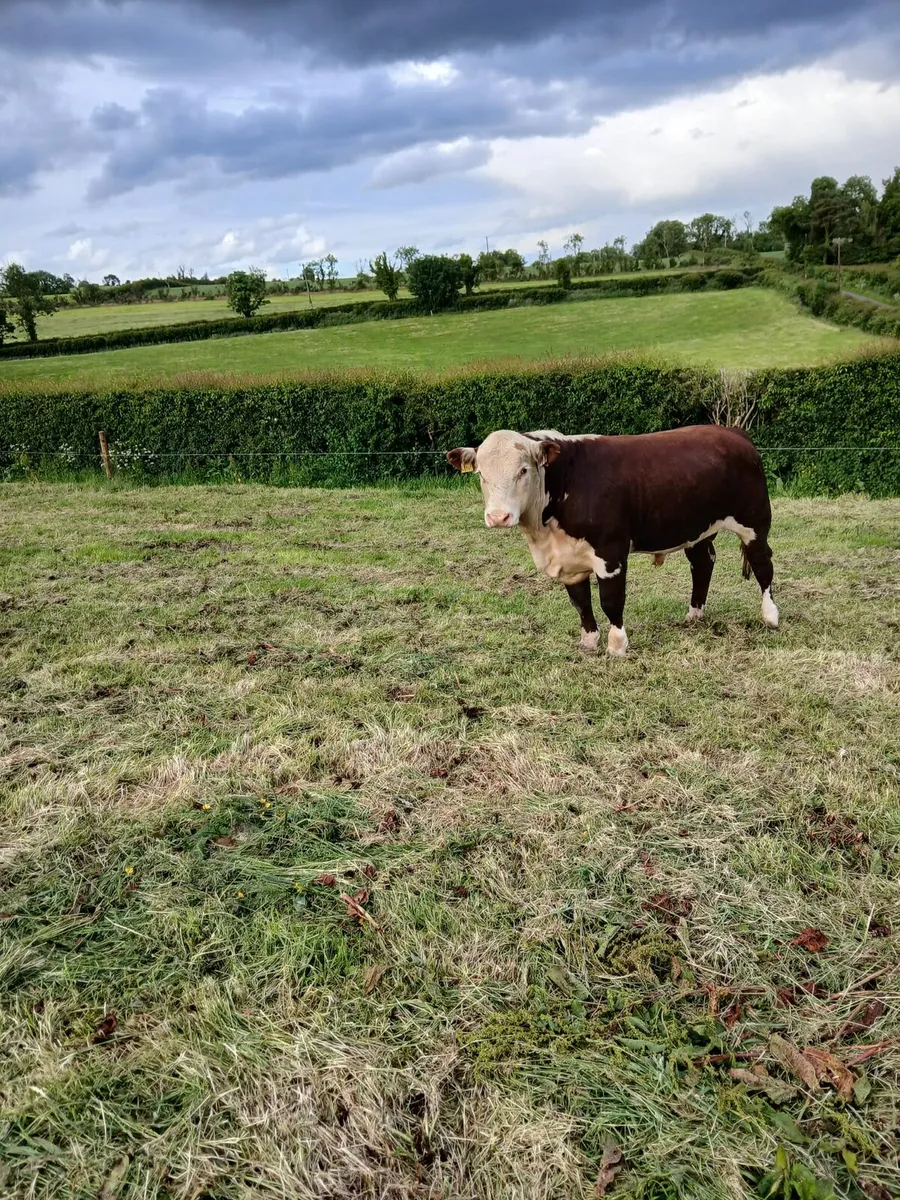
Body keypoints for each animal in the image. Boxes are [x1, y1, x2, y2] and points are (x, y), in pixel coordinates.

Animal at [447, 425, 778, 656]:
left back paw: (770, 616)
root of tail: (732, 432)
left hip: (755, 522)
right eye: (481, 474)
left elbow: (611, 600)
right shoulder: (571, 560)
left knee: (763, 566)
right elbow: (580, 601)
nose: (498, 516)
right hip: (697, 529)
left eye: (523, 470)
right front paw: (588, 642)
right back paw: (694, 614)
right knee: (703, 564)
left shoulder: (611, 552)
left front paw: (617, 644)